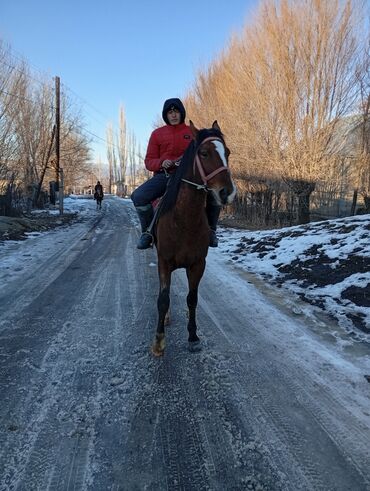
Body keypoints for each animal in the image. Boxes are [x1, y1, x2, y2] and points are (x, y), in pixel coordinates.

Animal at [151, 119, 236, 358]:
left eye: (227, 152)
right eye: (204, 153)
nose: (227, 193)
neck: (184, 221)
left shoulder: (198, 264)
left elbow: (192, 298)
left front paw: (193, 336)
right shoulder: (164, 261)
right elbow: (163, 299)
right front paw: (159, 342)